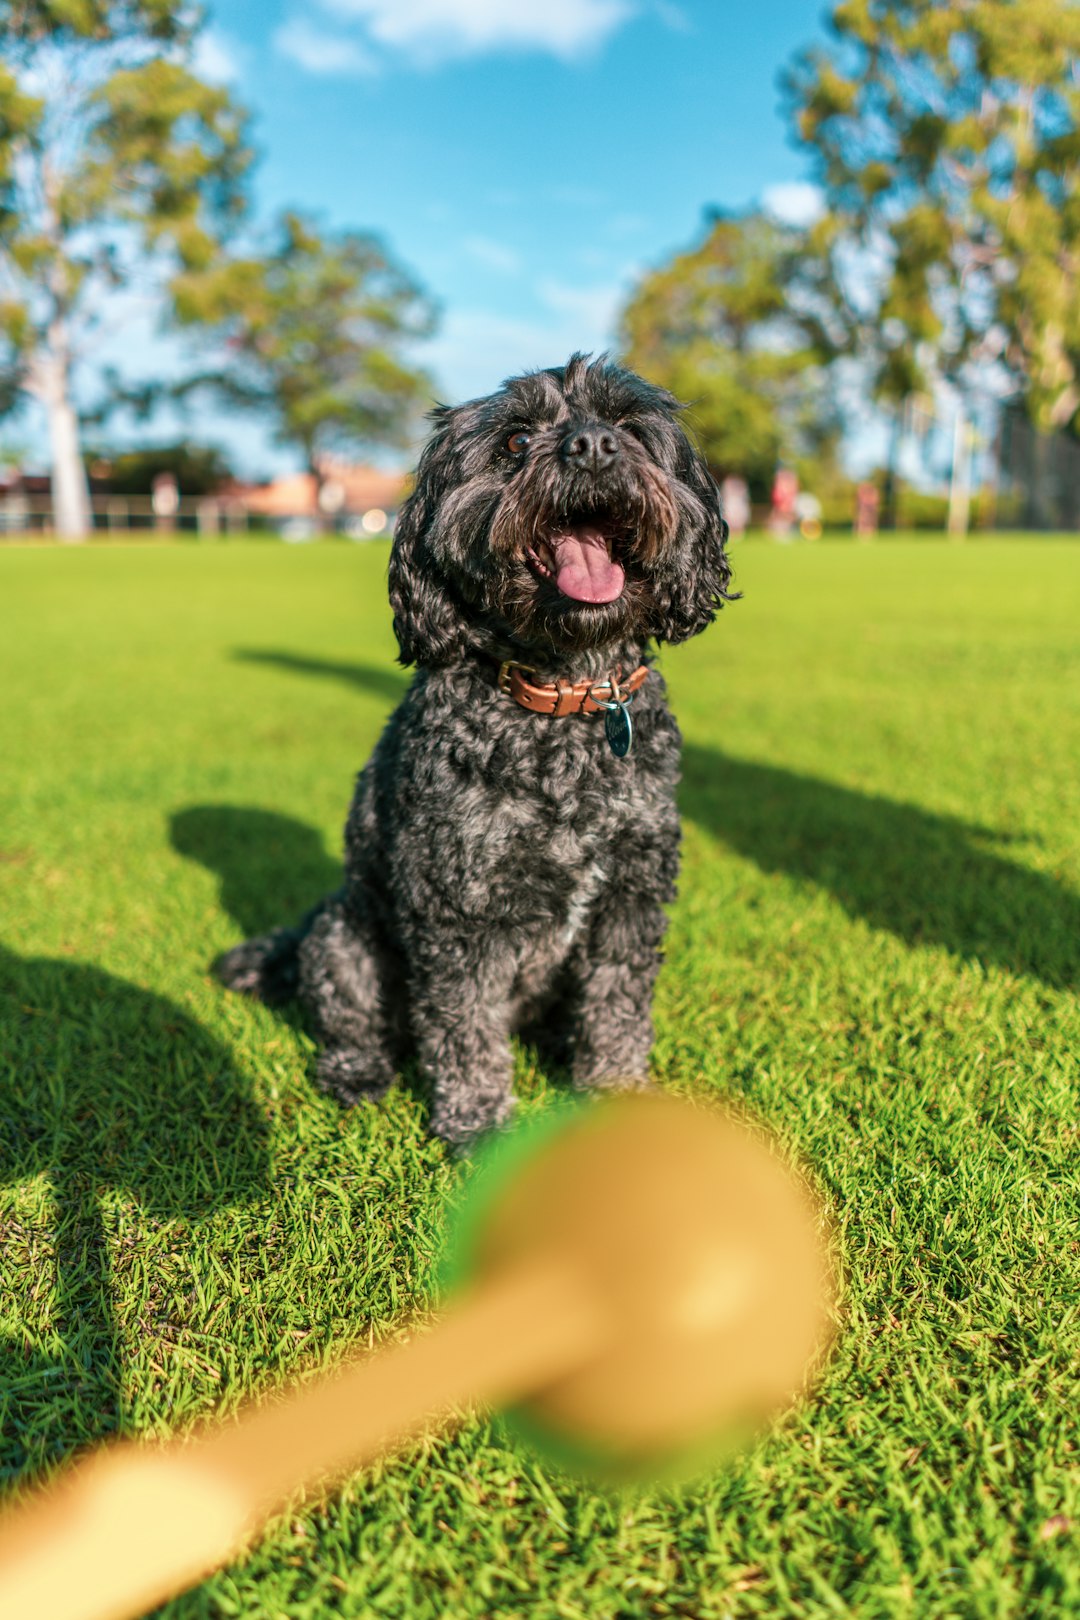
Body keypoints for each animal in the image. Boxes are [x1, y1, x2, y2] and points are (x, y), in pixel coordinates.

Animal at [215, 358, 731, 1140]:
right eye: (516, 440)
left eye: (628, 425)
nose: (592, 447)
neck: (564, 699)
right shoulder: (457, 909)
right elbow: (464, 1030)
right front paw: (480, 1127)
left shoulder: (631, 896)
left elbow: (616, 1008)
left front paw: (615, 1094)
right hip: (344, 938)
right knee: (352, 1022)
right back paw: (356, 1073)